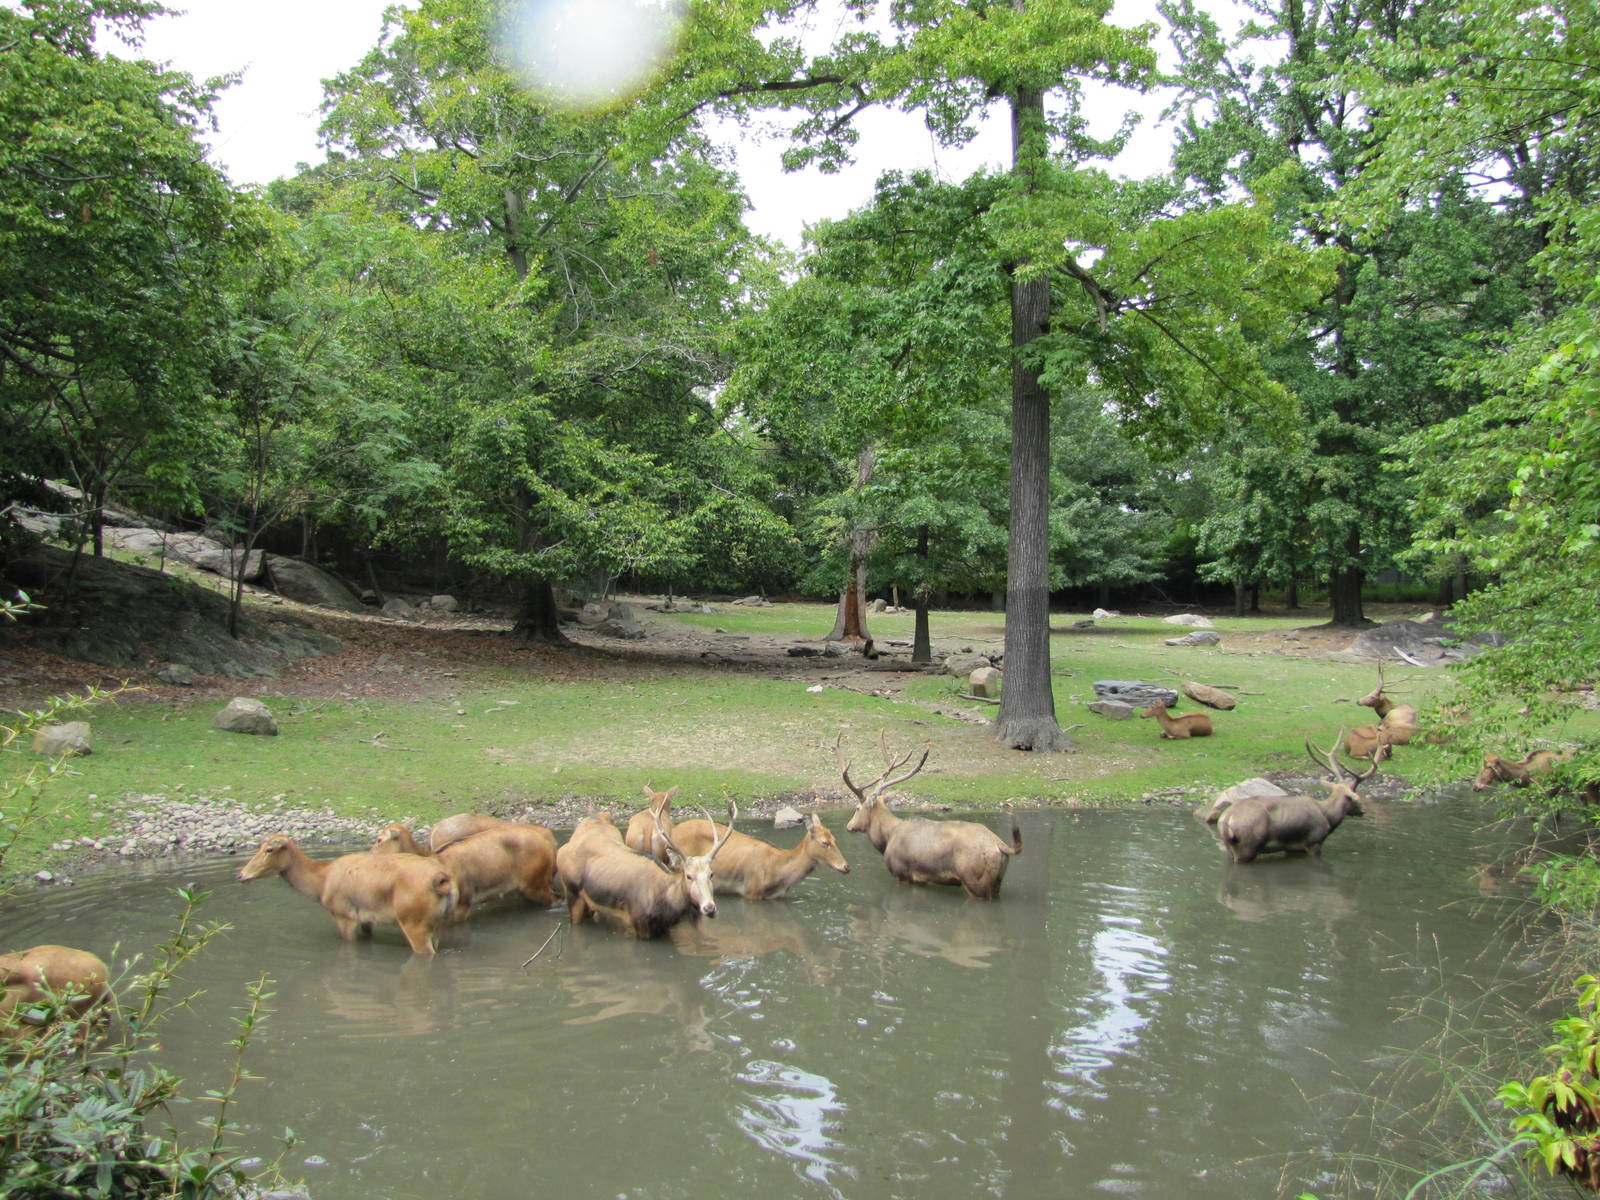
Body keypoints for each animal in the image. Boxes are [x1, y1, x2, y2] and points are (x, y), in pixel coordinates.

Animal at [237, 834, 458, 955]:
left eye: (269, 849)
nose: (241, 875)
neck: (321, 882)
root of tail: (442, 881)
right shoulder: (366, 918)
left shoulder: (343, 915)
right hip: (439, 924)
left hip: (414, 922)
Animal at [371, 822, 559, 920]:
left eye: (380, 839)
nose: (370, 854)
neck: (433, 858)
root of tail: (549, 842)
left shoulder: (463, 902)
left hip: (535, 884)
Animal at [564, 803, 736, 938]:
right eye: (688, 876)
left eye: (711, 874)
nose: (709, 908)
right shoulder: (638, 922)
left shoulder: (663, 929)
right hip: (572, 893)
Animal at [838, 733, 1021, 900]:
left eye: (857, 808)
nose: (849, 825)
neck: (887, 837)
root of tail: (1001, 845)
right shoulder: (921, 879)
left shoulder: (902, 873)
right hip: (997, 883)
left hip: (974, 880)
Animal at [1215, 734, 1379, 864]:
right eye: (1355, 797)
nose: (1363, 810)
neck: (1328, 817)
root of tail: (1227, 819)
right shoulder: (1314, 841)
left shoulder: (1293, 848)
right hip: (1247, 846)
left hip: (1230, 848)